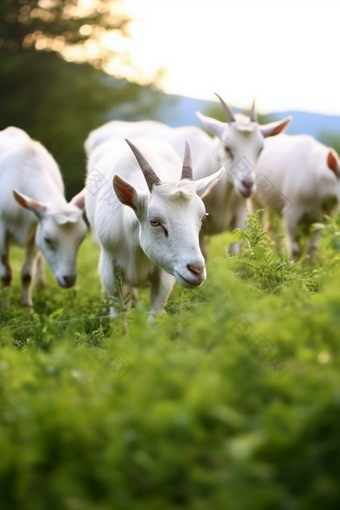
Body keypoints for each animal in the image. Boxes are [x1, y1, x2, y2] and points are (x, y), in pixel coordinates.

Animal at [0, 126, 87, 306]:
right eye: (48, 240)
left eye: (81, 239)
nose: (69, 280)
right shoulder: (1, 229)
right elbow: (6, 274)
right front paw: (6, 307)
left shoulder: (35, 232)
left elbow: (27, 274)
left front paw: (26, 307)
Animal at [84, 137, 223, 316]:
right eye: (154, 221)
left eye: (202, 217)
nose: (197, 270)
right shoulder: (109, 266)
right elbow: (118, 314)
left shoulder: (165, 275)